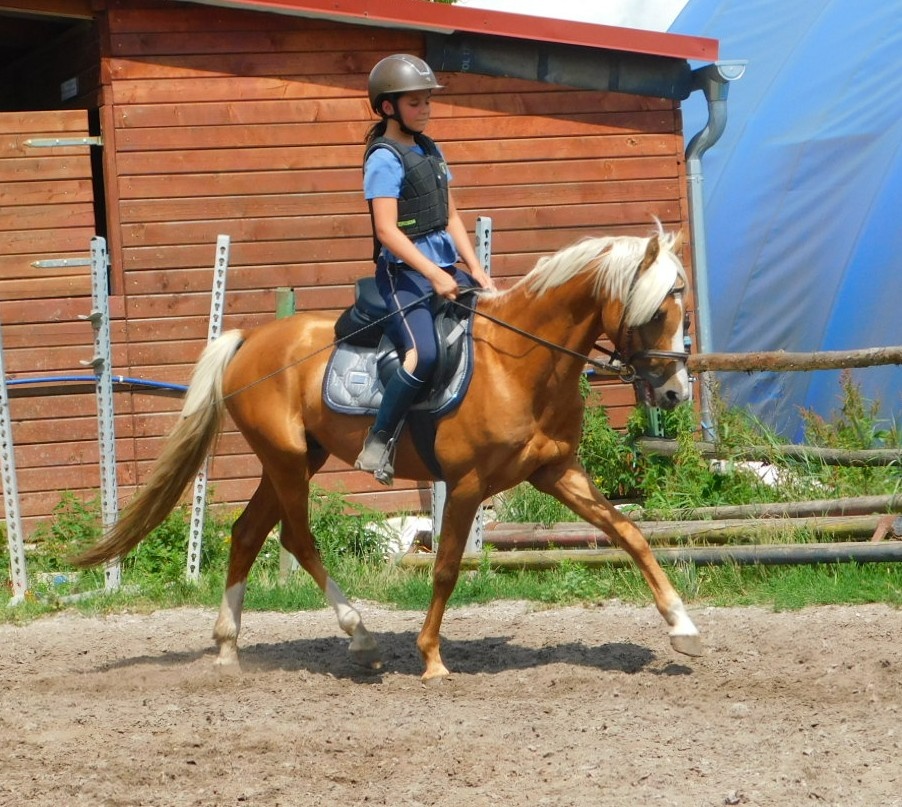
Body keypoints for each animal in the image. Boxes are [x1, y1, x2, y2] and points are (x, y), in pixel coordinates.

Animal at [74, 226, 703, 681]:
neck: (519, 362)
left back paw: (229, 650)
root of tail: (252, 338)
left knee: (248, 533)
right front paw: (431, 658)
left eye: (684, 313)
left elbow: (630, 533)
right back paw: (361, 638)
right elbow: (446, 567)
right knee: (297, 539)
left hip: (297, 460)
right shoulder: (467, 483)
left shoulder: (556, 471)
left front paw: (683, 627)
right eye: (653, 313)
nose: (675, 393)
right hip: (286, 460)